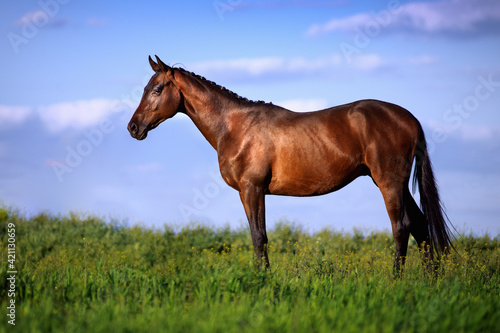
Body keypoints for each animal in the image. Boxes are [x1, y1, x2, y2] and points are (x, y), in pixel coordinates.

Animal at [126, 55, 454, 272]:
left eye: (157, 89)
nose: (133, 127)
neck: (235, 126)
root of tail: (409, 118)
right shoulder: (252, 192)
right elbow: (258, 237)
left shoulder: (252, 189)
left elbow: (259, 238)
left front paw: (262, 282)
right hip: (395, 183)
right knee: (421, 227)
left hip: (389, 182)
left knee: (401, 227)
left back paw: (395, 281)